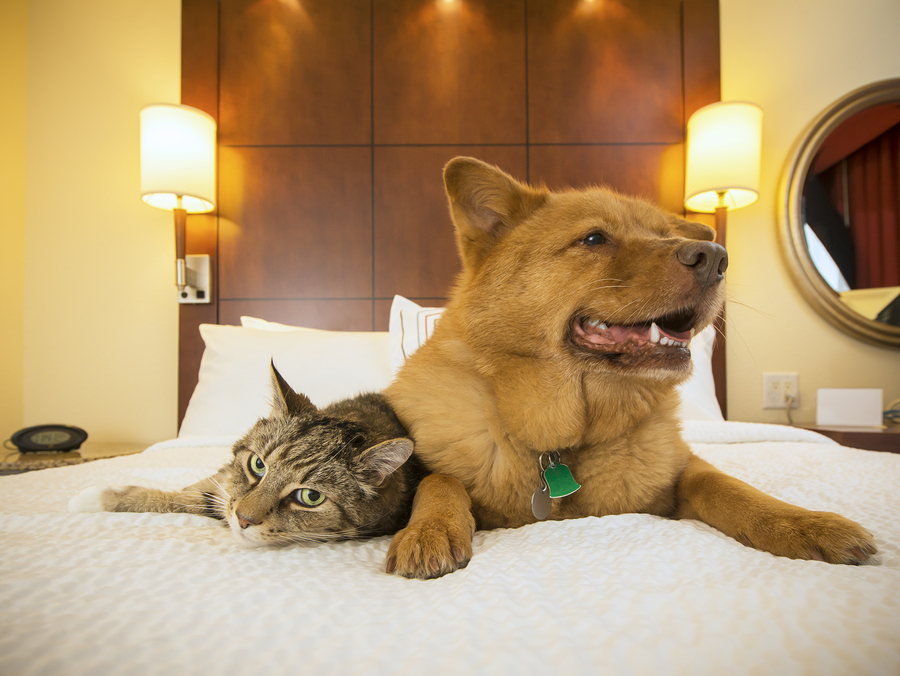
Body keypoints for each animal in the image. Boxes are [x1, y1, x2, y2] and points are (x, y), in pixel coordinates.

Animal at [384, 156, 876, 580]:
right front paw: (430, 528)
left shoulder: (684, 472)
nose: (716, 256)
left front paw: (803, 522)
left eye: (664, 233)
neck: (563, 446)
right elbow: (441, 481)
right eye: (594, 239)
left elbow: (731, 487)